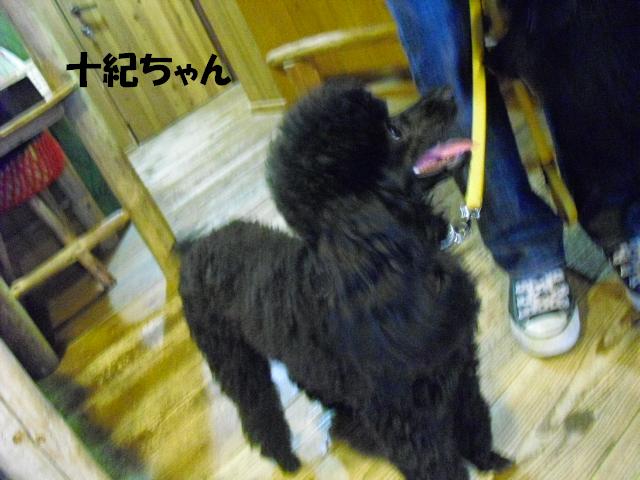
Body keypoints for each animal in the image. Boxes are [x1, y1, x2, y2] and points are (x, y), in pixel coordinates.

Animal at [179, 81, 511, 479]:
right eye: (392, 131)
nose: (446, 92)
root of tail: (193, 250)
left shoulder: (458, 372)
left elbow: (473, 419)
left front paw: (489, 460)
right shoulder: (407, 424)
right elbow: (437, 465)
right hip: (232, 359)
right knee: (257, 410)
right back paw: (286, 458)